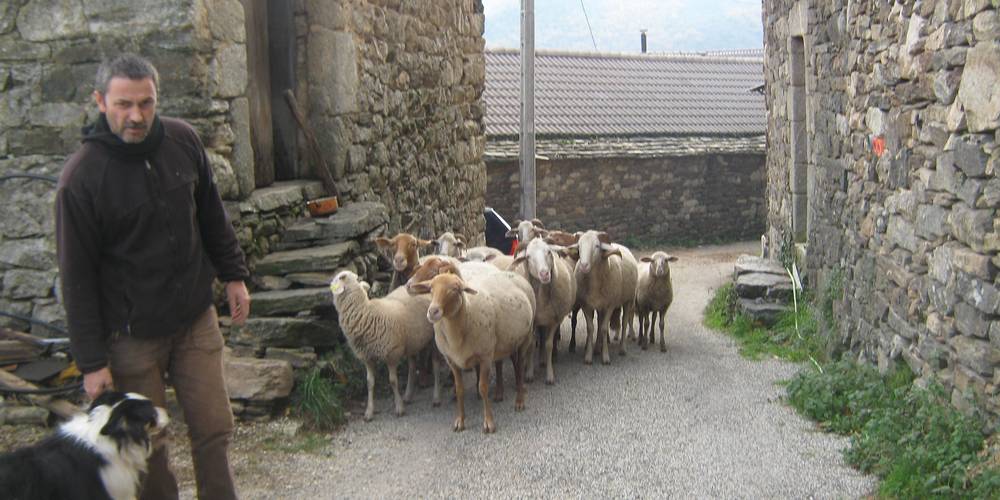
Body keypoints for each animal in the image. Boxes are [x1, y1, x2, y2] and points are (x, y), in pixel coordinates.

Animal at [329, 270, 442, 421]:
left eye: (341, 277)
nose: (330, 285)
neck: (366, 313)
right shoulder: (367, 357)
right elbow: (369, 383)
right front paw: (369, 412)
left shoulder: (392, 353)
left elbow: (393, 381)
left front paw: (399, 408)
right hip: (411, 341)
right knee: (412, 367)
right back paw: (408, 395)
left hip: (433, 339)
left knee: (436, 366)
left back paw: (436, 398)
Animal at [408, 271, 535, 433]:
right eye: (430, 289)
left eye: (455, 289)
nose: (433, 311)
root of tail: (514, 273)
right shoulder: (452, 361)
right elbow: (459, 390)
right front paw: (460, 421)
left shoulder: (485, 357)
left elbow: (482, 388)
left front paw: (489, 422)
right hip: (508, 340)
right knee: (508, 363)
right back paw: (500, 394)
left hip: (526, 336)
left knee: (519, 366)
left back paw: (519, 401)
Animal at [510, 238, 577, 384]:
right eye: (528, 257)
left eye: (549, 252)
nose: (545, 274)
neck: (542, 298)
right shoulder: (533, 322)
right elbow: (530, 345)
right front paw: (529, 373)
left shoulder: (554, 321)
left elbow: (548, 345)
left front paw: (550, 375)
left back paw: (546, 359)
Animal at [571, 230, 638, 364]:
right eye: (579, 246)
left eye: (597, 246)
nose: (584, 265)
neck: (594, 283)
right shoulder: (586, 305)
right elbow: (591, 328)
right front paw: (588, 356)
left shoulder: (610, 305)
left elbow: (603, 329)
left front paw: (605, 357)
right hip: (600, 306)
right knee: (600, 321)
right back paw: (597, 348)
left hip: (628, 300)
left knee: (624, 322)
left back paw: (622, 349)